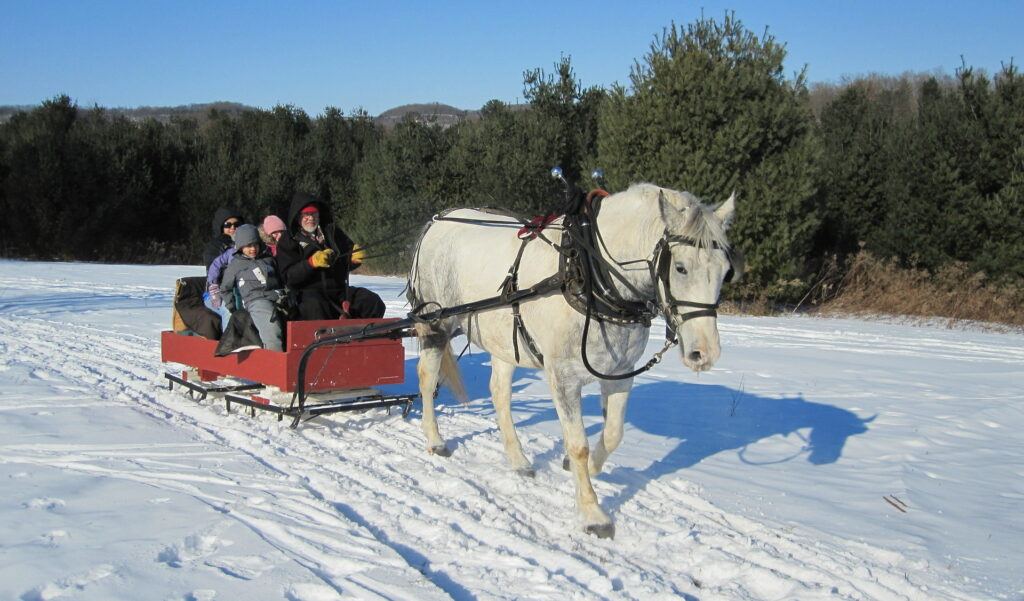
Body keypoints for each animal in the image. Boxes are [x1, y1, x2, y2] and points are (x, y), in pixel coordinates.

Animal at [407, 183, 739, 538]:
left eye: (725, 271)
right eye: (680, 267)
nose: (704, 353)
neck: (590, 276)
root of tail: (437, 220)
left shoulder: (621, 373)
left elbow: (613, 433)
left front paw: (586, 467)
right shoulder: (563, 376)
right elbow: (578, 443)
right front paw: (593, 514)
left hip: (504, 341)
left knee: (499, 394)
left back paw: (519, 460)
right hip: (436, 324)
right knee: (427, 377)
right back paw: (436, 440)